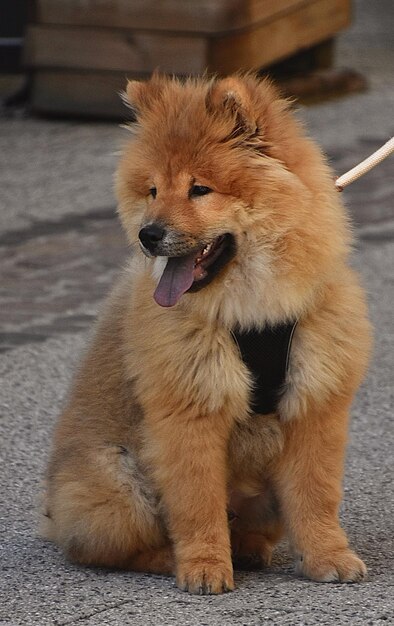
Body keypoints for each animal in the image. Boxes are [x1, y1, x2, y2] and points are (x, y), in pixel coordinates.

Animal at [41, 73, 370, 588]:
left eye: (199, 189)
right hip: (118, 485)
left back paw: (250, 549)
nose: (149, 234)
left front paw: (328, 557)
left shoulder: (314, 404)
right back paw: (170, 558)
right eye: (153, 190)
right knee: (109, 547)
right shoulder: (188, 411)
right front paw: (204, 568)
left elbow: (316, 496)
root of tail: (51, 512)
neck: (252, 309)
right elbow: (198, 502)